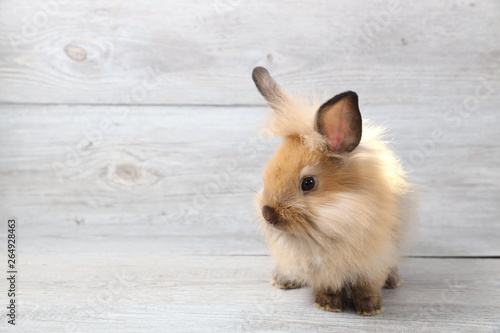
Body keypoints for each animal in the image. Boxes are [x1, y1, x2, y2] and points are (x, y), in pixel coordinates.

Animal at [250, 67, 410, 314]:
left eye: (308, 183)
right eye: (266, 174)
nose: (268, 215)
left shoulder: (373, 260)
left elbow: (367, 286)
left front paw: (370, 308)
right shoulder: (319, 269)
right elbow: (327, 286)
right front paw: (328, 304)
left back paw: (393, 282)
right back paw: (282, 281)